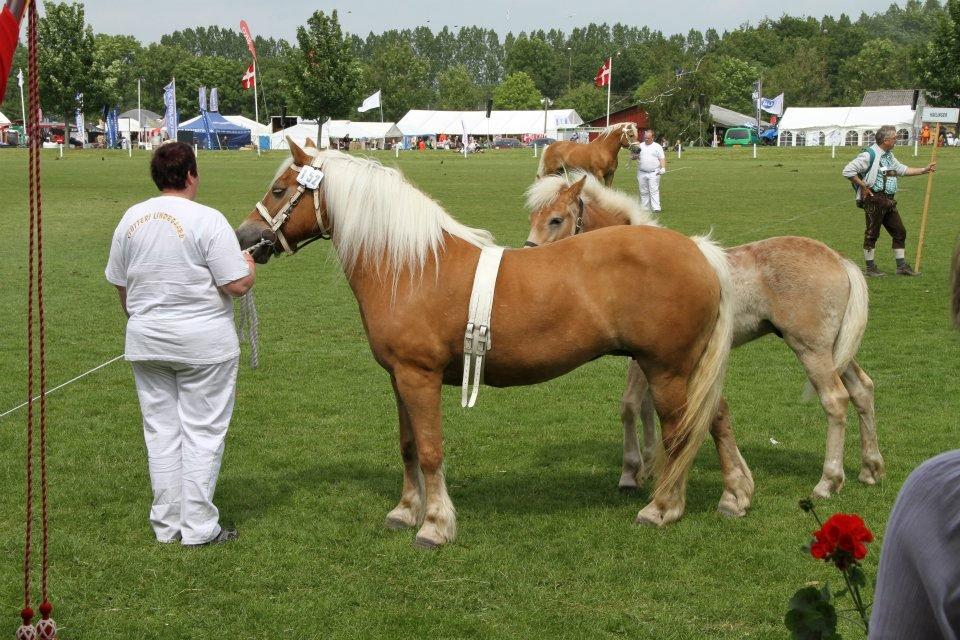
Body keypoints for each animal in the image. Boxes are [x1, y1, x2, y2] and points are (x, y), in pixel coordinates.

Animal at [232, 142, 736, 548]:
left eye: (278, 190)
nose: (244, 238)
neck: (412, 266)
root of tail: (698, 250)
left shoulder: (419, 377)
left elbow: (431, 451)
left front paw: (434, 525)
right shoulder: (400, 378)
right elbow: (408, 445)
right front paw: (405, 511)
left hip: (667, 371)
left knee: (680, 435)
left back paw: (663, 508)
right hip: (684, 371)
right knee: (715, 418)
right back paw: (734, 495)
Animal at [524, 172, 884, 502]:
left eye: (556, 219)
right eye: (532, 218)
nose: (530, 257)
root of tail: (839, 259)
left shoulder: (648, 358)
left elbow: (629, 406)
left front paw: (631, 472)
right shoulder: (652, 358)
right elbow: (645, 408)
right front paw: (651, 465)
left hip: (811, 351)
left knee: (835, 401)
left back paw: (828, 481)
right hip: (835, 352)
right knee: (862, 390)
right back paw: (870, 468)